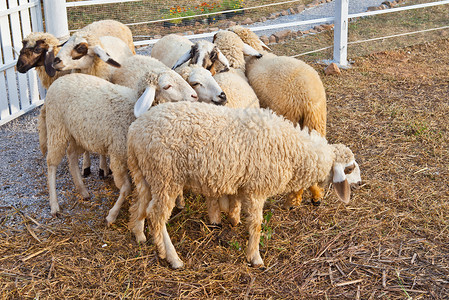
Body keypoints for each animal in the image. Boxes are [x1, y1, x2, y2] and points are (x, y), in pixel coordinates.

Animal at [40, 71, 198, 224]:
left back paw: (83, 191)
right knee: (52, 163)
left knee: (71, 154)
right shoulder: (118, 155)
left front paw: (180, 201)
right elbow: (126, 188)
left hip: (79, 134)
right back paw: (54, 206)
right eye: (167, 86)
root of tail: (59, 80)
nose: (195, 96)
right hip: (57, 126)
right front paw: (112, 215)